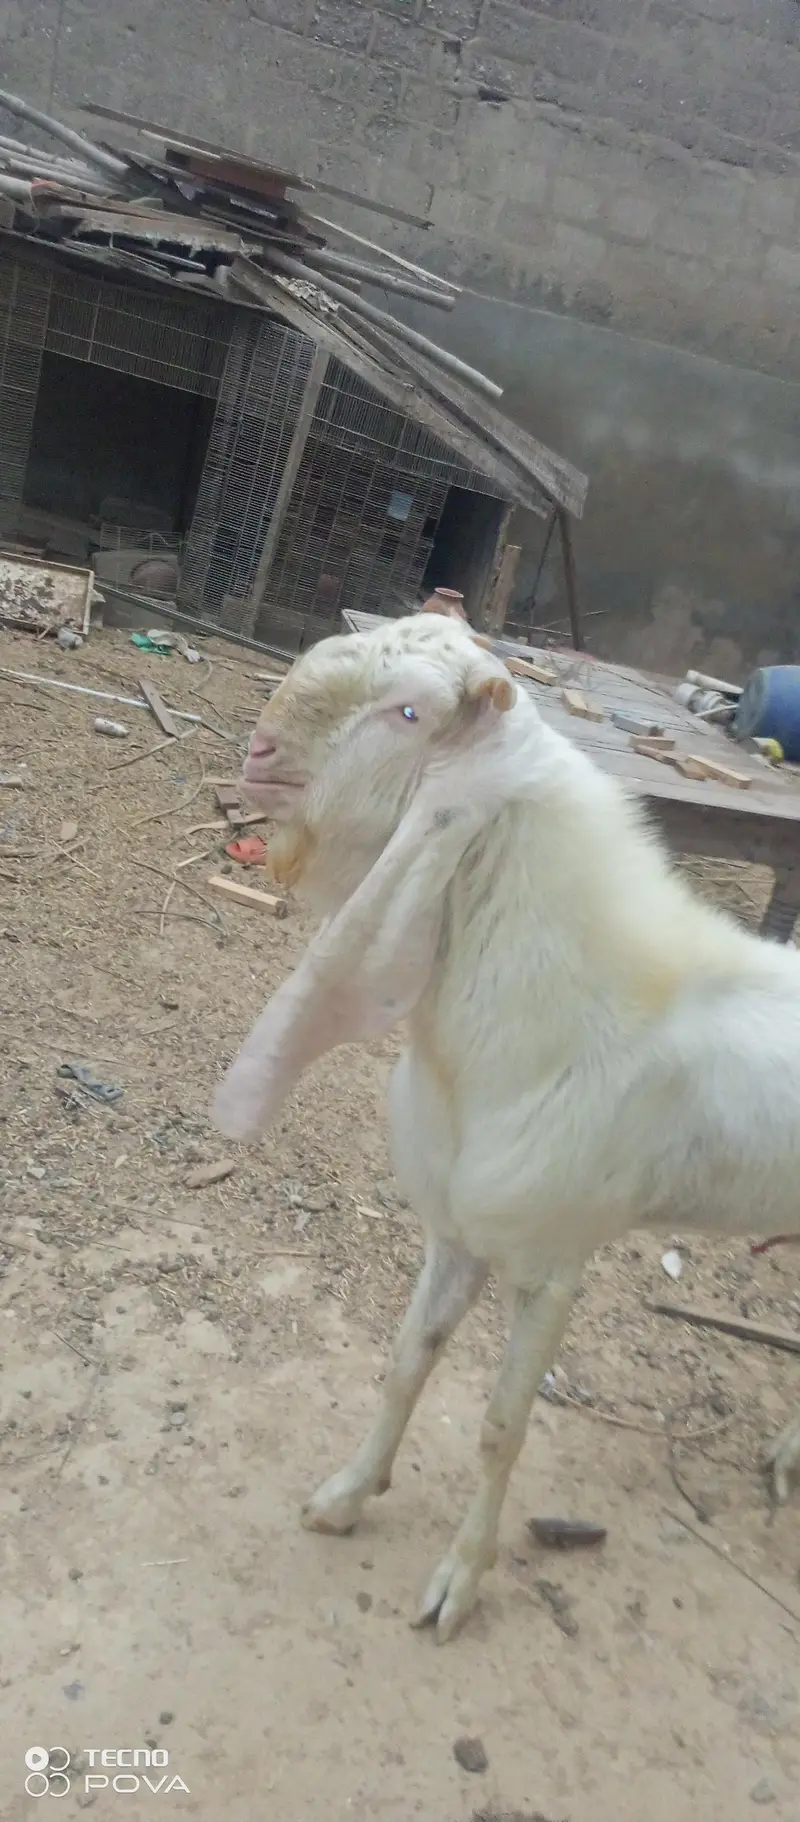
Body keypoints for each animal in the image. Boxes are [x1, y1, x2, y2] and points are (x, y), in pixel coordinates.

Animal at [213, 613, 800, 1642]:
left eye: (409, 712)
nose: (259, 753)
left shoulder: (552, 1267)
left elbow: (498, 1425)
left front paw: (459, 1581)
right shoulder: (454, 1232)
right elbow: (404, 1365)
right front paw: (348, 1496)